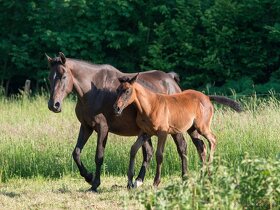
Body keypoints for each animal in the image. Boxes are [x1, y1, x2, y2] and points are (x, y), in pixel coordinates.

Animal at [46, 52, 191, 190]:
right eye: (50, 77)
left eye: (63, 76)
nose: (54, 105)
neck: (92, 92)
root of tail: (170, 79)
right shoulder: (86, 126)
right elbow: (76, 153)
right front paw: (89, 177)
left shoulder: (102, 128)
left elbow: (99, 156)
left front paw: (95, 184)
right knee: (148, 153)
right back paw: (137, 181)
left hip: (174, 129)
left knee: (182, 148)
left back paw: (184, 178)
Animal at [113, 74, 241, 187]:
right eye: (117, 90)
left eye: (127, 91)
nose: (116, 108)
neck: (150, 106)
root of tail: (207, 97)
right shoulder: (145, 133)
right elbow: (133, 149)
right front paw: (130, 182)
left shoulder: (162, 133)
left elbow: (159, 155)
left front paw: (156, 182)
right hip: (192, 129)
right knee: (201, 146)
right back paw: (202, 176)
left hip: (202, 127)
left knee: (213, 140)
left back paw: (209, 172)